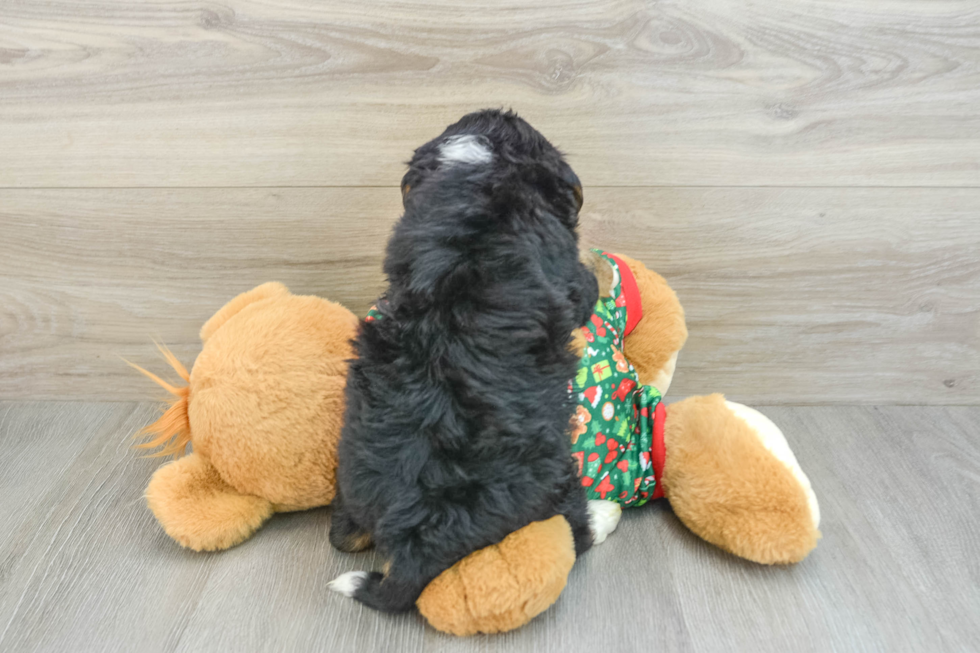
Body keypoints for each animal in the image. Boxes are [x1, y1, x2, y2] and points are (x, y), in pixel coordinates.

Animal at [326, 109, 608, 612]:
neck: (482, 170)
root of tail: (417, 546)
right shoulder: (570, 278)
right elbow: (586, 283)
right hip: (554, 478)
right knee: (576, 534)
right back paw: (603, 514)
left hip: (352, 485)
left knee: (343, 536)